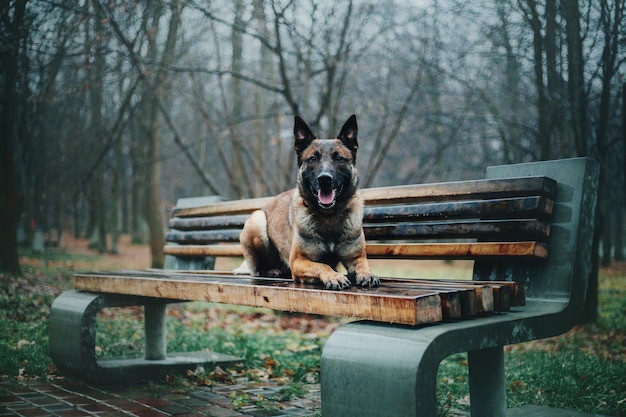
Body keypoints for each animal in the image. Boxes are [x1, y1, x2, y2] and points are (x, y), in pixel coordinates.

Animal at [238, 114, 376, 290]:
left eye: (339, 158)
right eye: (313, 158)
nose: (324, 179)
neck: (328, 216)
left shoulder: (356, 257)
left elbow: (363, 264)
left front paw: (367, 274)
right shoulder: (299, 261)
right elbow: (322, 265)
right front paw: (334, 276)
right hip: (257, 220)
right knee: (259, 268)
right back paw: (272, 270)